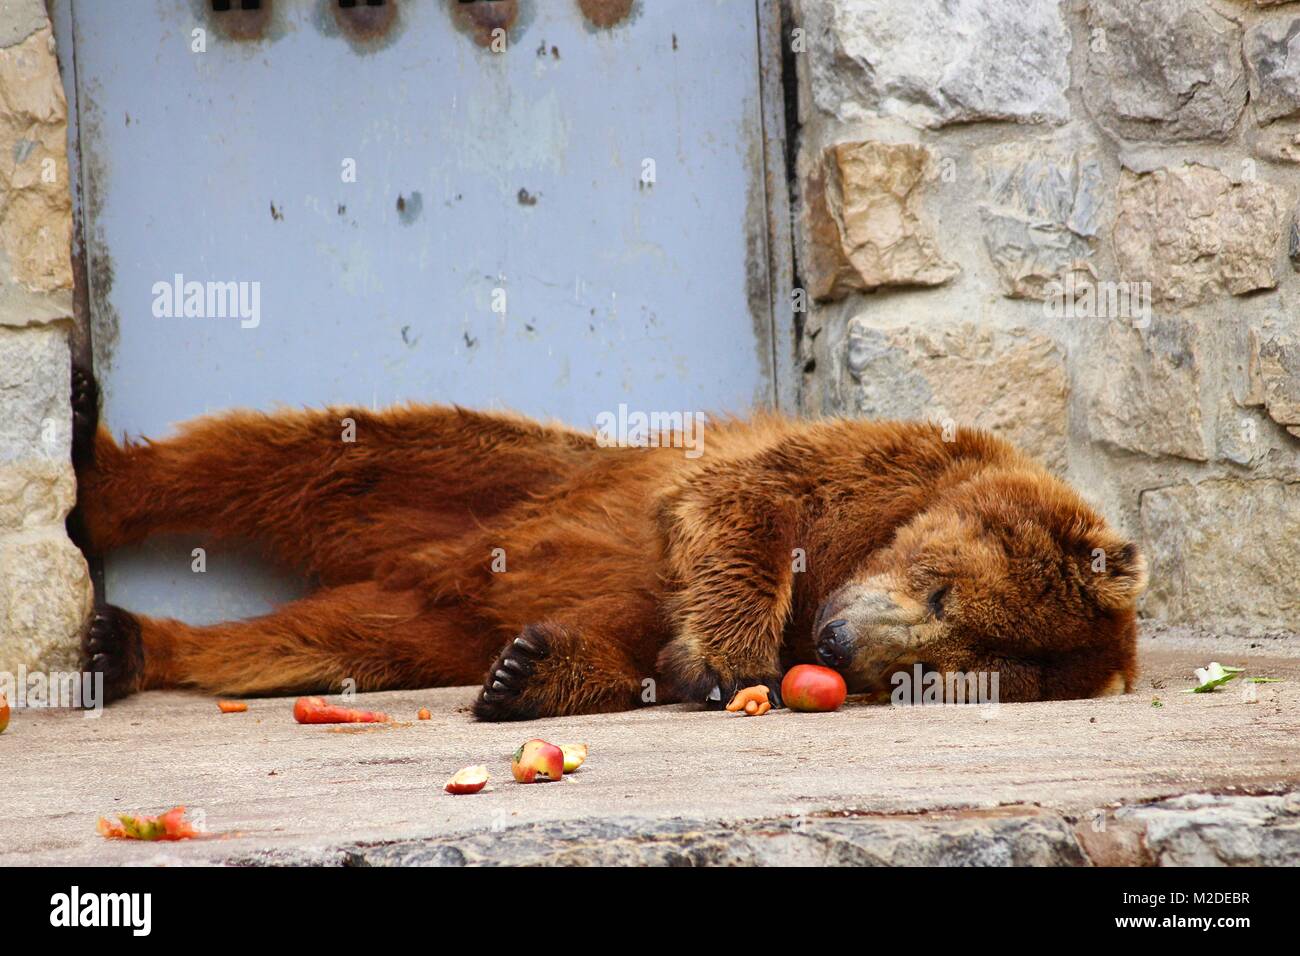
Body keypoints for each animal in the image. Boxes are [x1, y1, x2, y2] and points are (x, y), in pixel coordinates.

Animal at [69, 371, 1146, 720]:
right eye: (939, 590)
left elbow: (639, 651)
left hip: (428, 602)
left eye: (943, 674)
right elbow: (741, 508)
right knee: (325, 456)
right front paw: (736, 660)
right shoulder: (864, 468)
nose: (840, 645)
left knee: (333, 639)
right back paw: (99, 476)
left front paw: (530, 673)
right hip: (504, 476)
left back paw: (129, 642)